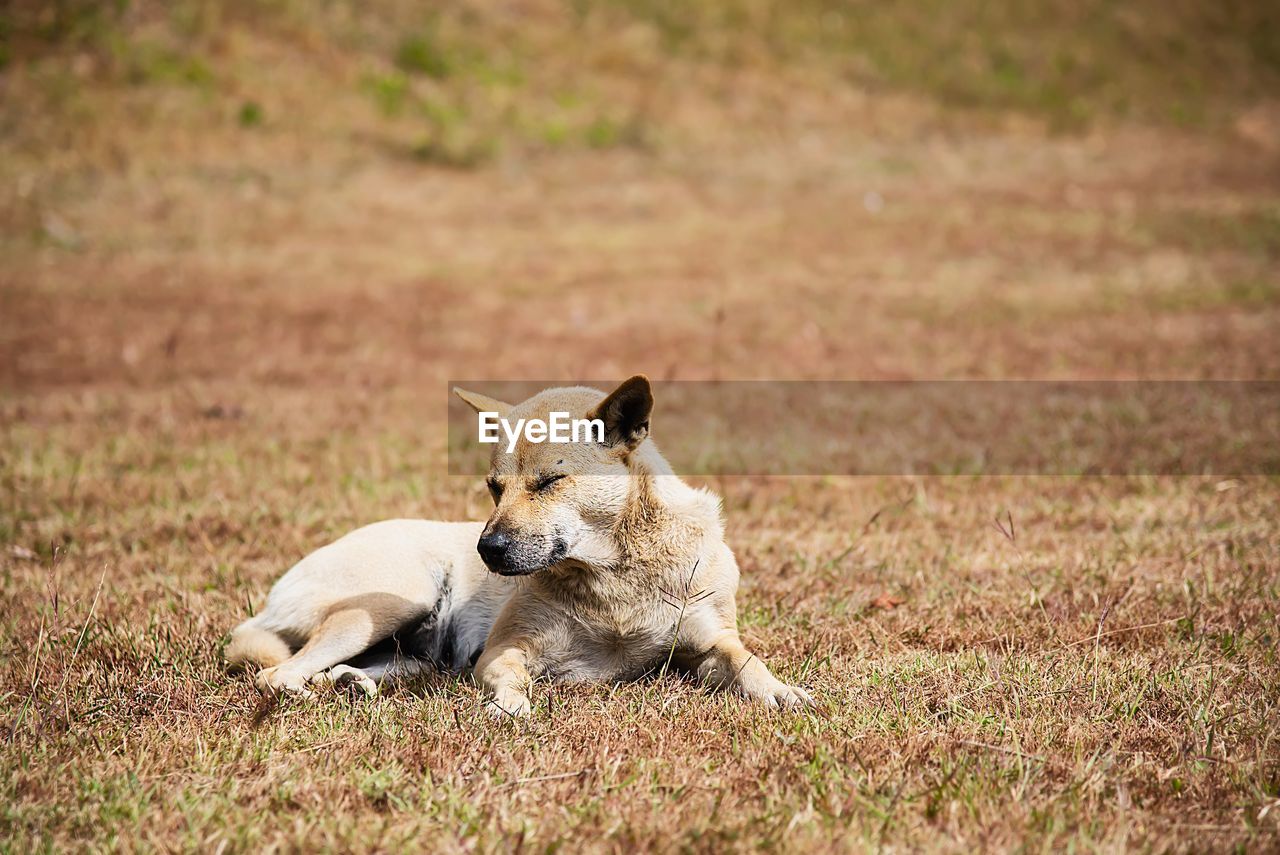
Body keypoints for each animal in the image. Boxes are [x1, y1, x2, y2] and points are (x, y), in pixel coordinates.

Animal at [225, 373, 814, 716]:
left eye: (548, 482)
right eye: (493, 487)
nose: (487, 549)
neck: (617, 573)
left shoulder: (711, 642)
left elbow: (747, 662)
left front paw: (782, 691)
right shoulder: (505, 647)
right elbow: (508, 674)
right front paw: (511, 704)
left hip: (415, 655)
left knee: (352, 670)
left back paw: (350, 686)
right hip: (392, 603)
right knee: (277, 673)